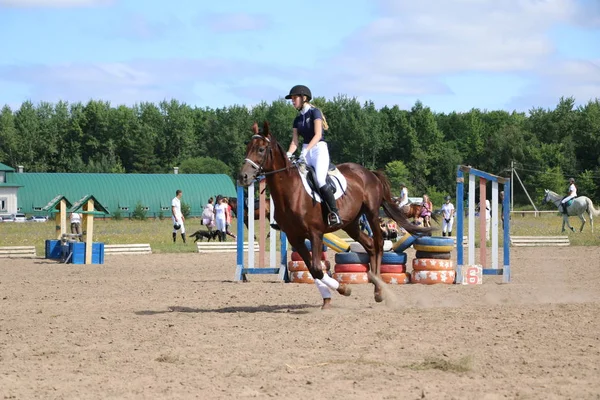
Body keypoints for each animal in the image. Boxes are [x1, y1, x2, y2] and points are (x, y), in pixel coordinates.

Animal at [238, 120, 432, 308]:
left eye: (261, 149)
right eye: (247, 148)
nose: (243, 177)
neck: (291, 192)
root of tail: (369, 172)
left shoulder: (315, 234)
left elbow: (317, 268)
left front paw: (345, 289)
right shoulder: (294, 237)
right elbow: (312, 269)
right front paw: (328, 299)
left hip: (371, 213)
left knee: (378, 243)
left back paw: (379, 291)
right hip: (351, 224)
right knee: (369, 245)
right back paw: (375, 283)